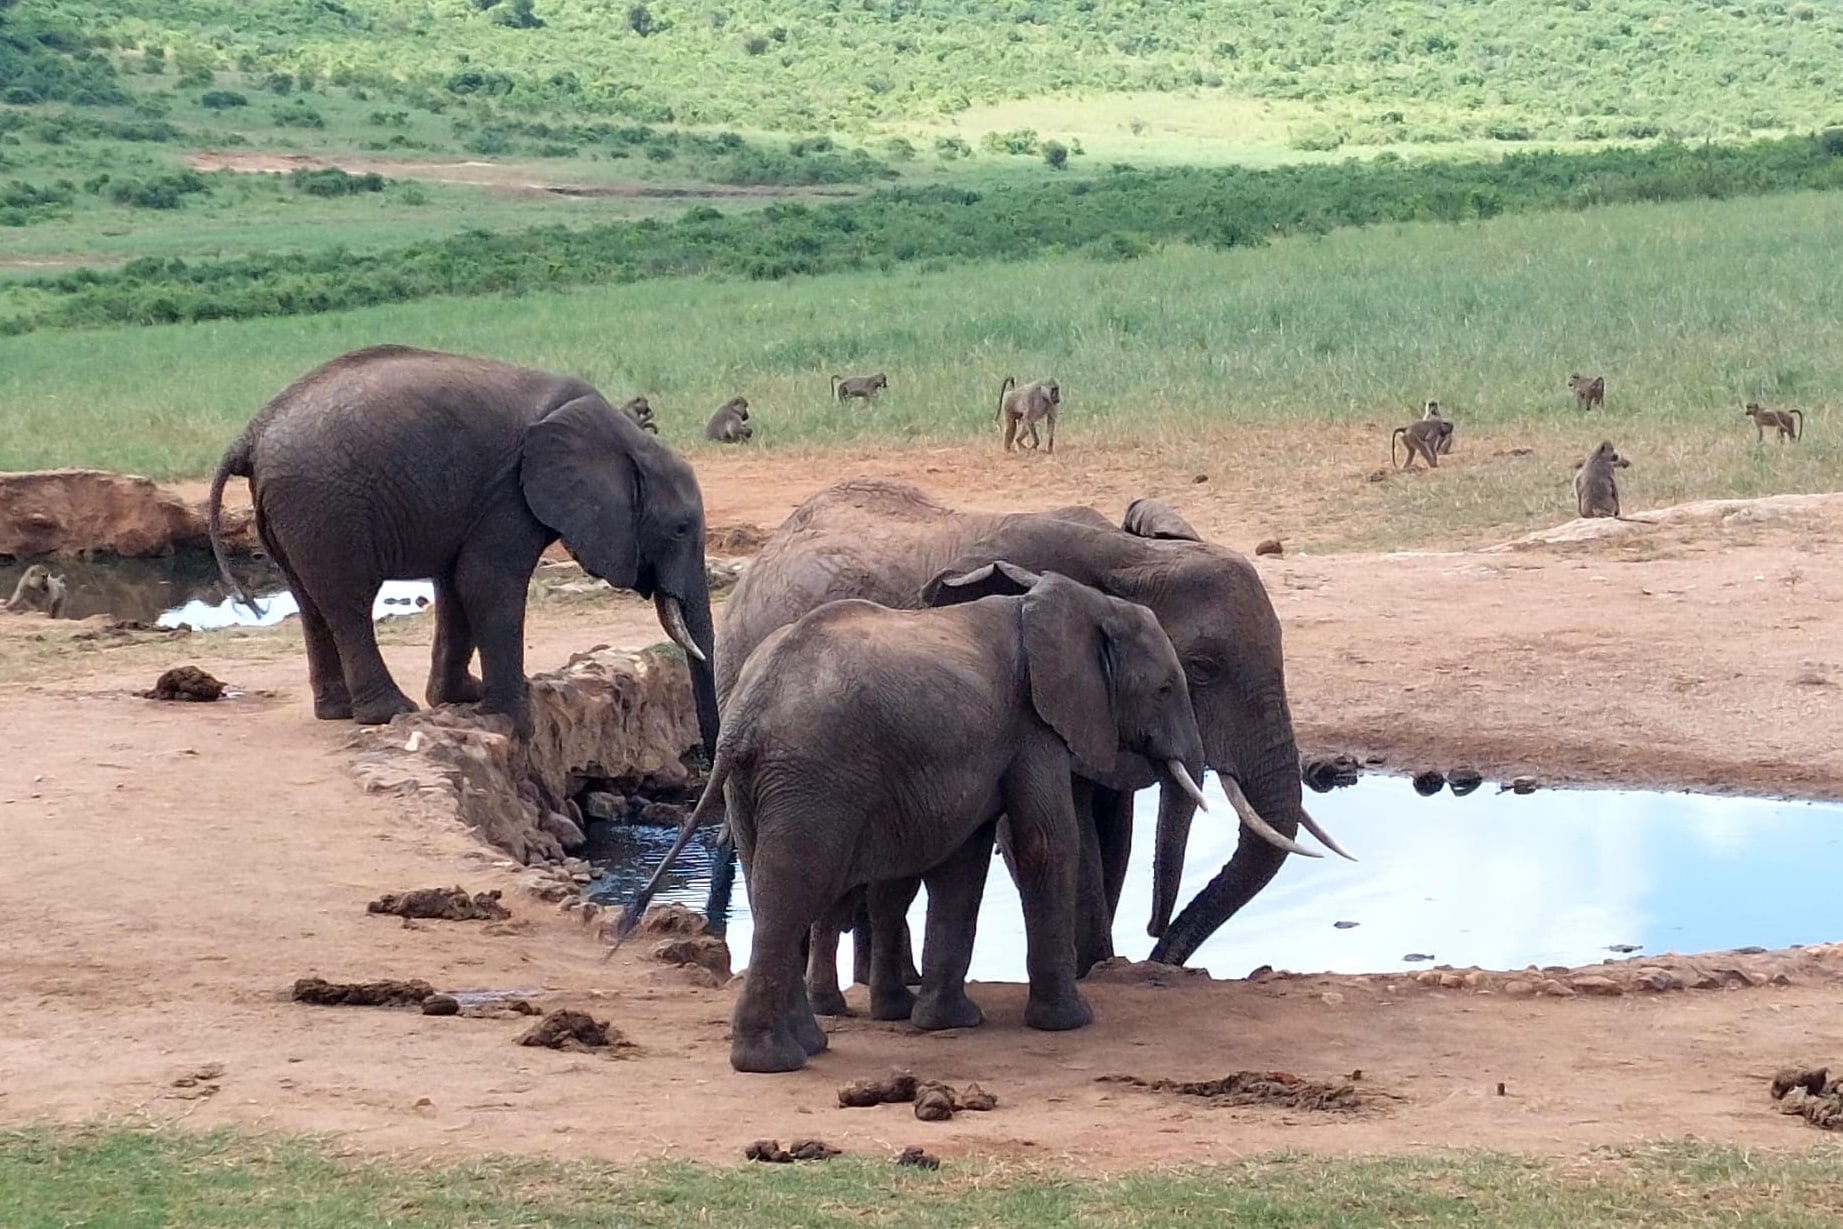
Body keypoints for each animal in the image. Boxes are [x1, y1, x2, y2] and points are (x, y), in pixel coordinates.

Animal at [203, 340, 718, 755]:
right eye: (680, 528)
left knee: (310, 601)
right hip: (325, 506)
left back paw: (338, 711)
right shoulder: (511, 492)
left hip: (290, 510)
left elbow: (457, 586)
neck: (619, 433)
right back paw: (391, 712)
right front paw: (516, 723)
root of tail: (251, 434)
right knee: (348, 602)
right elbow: (487, 584)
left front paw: (462, 697)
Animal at [648, 571, 1209, 1076]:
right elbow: (1043, 844)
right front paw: (1070, 1022)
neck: (1067, 603)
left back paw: (807, 1046)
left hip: (758, 787)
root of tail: (745, 714)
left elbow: (963, 863)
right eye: (1164, 689)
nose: (1152, 933)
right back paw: (773, 1061)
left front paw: (948, 1022)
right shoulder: (1032, 725)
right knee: (795, 893)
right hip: (814, 777)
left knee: (774, 893)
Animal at [700, 475, 1341, 994]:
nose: (1159, 947)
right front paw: (1095, 969)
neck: (1129, 556)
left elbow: (1112, 831)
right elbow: (1054, 831)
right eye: (1202, 669)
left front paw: (1099, 966)